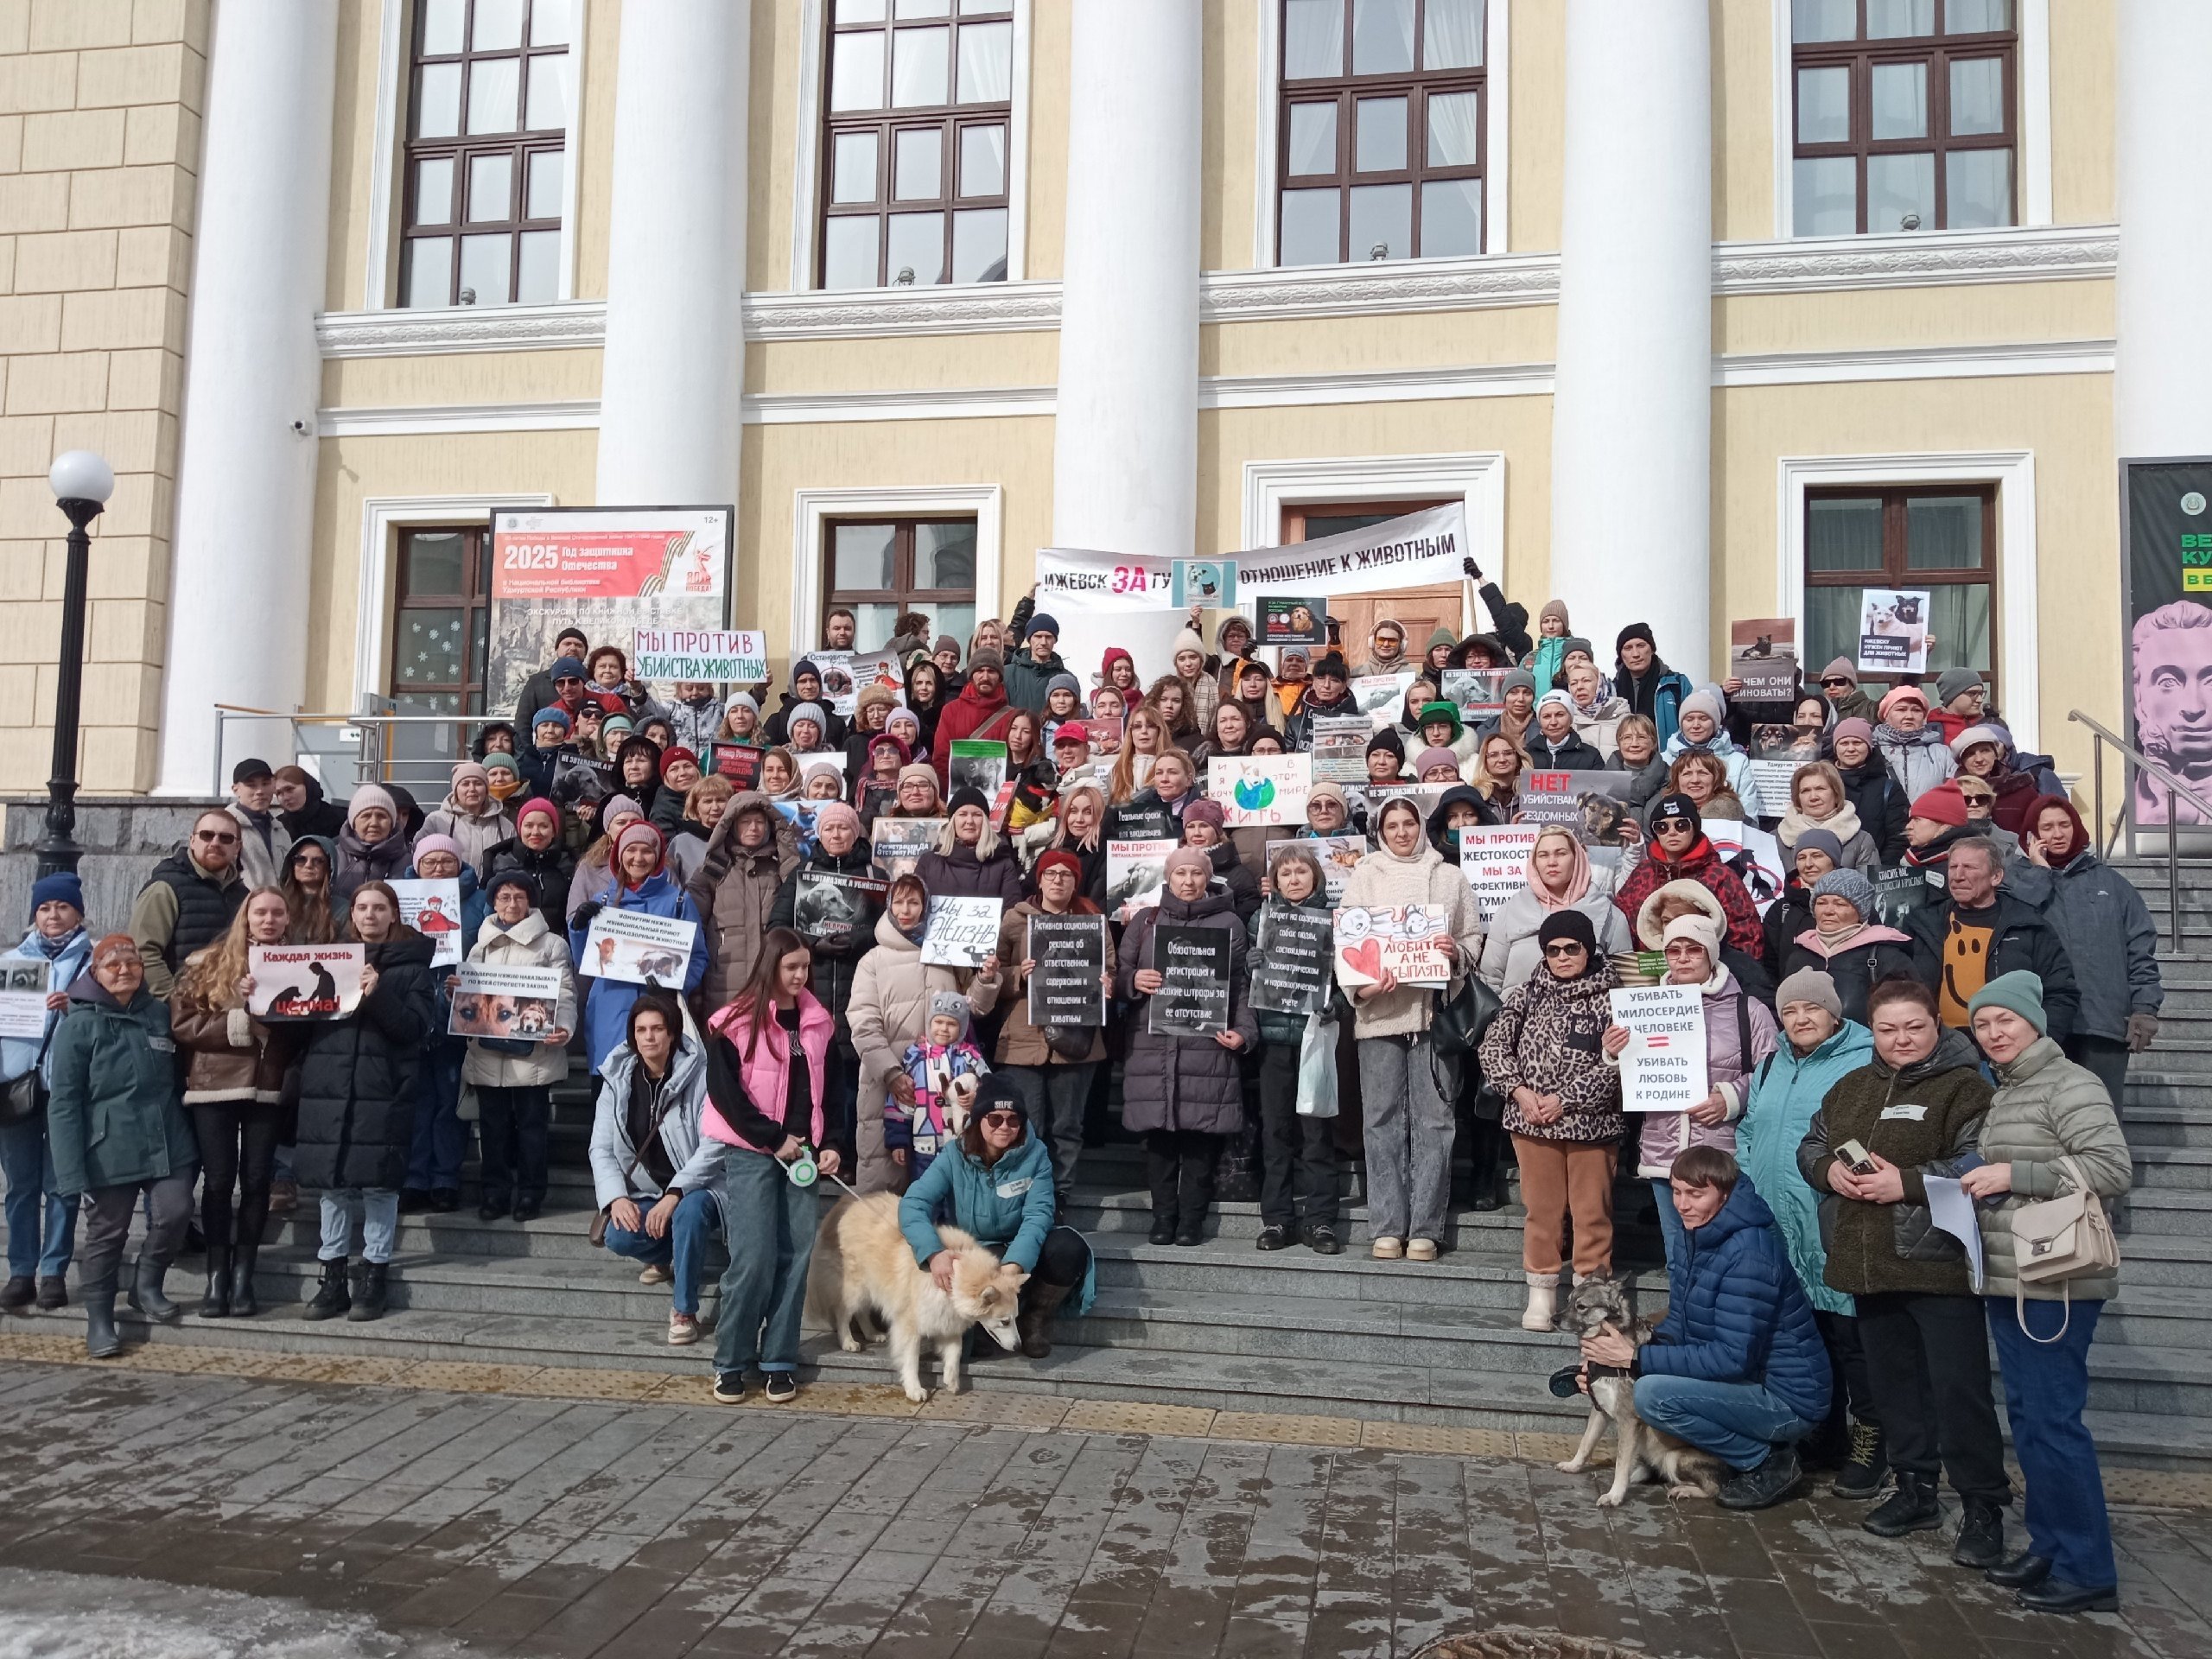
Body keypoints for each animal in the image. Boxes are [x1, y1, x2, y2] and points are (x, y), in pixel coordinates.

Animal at [804, 1194, 1026, 1407]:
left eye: (1015, 1318)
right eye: (1005, 1322)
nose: (1018, 1347)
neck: (955, 1277)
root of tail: (843, 1204)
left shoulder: (949, 1321)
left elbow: (955, 1352)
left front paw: (951, 1380)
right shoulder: (909, 1325)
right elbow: (911, 1360)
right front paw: (914, 1389)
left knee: (862, 1311)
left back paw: (872, 1333)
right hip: (855, 1288)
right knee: (843, 1312)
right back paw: (848, 1341)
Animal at [1548, 1282, 1734, 1513]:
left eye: (1581, 1306)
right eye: (1568, 1302)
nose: (1553, 1319)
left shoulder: (1628, 1421)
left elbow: (1621, 1463)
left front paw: (1614, 1496)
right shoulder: (1600, 1410)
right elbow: (1586, 1442)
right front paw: (1573, 1465)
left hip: (1674, 1458)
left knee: (1714, 1488)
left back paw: (1685, 1490)